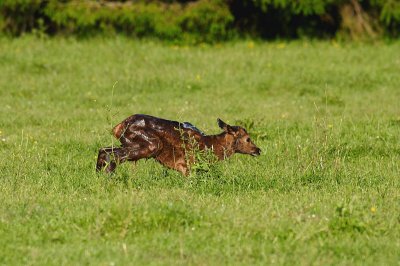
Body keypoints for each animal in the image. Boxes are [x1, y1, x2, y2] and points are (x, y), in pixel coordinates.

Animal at [95, 114, 260, 175]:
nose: (258, 150)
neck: (211, 146)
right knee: (113, 155)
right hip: (151, 145)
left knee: (104, 149)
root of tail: (118, 127)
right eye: (248, 139)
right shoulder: (188, 165)